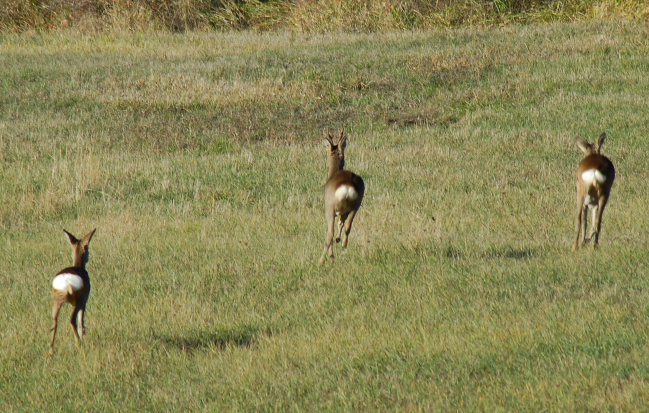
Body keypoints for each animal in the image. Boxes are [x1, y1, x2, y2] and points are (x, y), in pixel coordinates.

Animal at [318, 128, 364, 264]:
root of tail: (347, 186)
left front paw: (331, 256)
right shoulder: (344, 212)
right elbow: (342, 223)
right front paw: (339, 240)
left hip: (330, 208)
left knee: (330, 233)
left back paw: (322, 260)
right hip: (356, 204)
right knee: (348, 226)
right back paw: (343, 244)